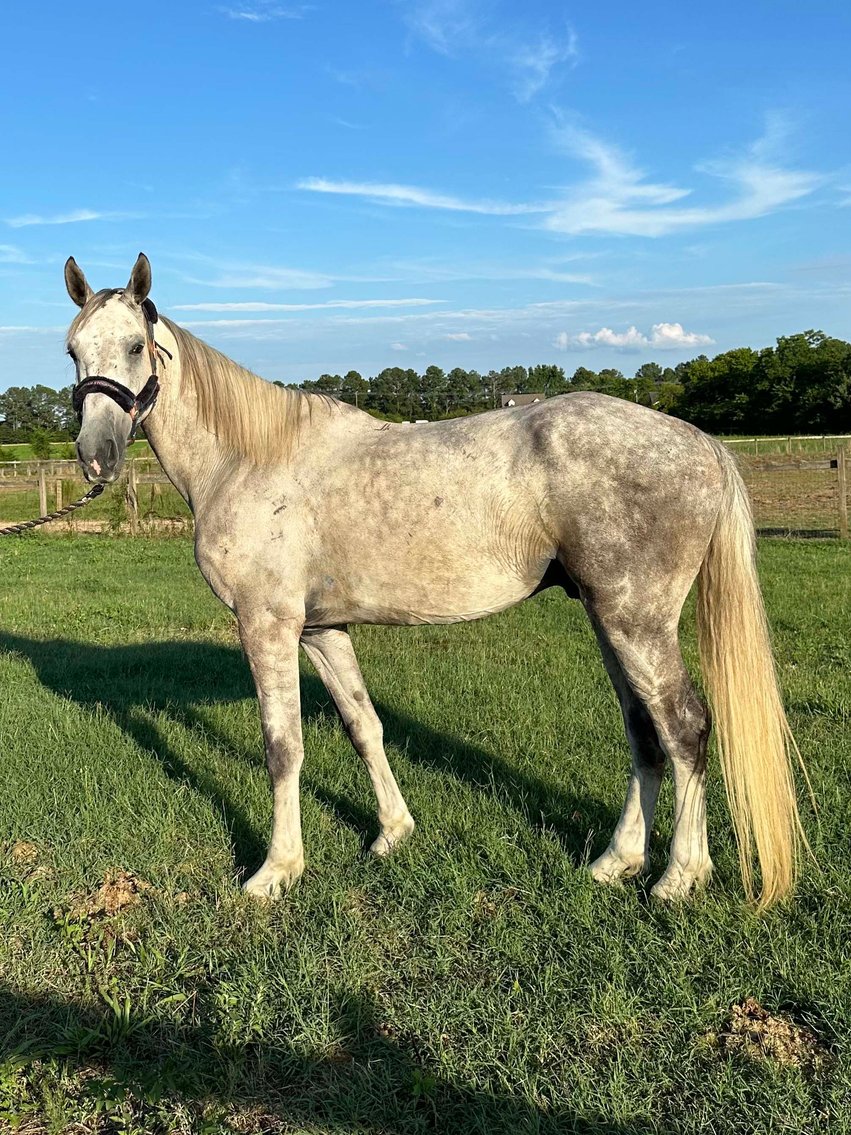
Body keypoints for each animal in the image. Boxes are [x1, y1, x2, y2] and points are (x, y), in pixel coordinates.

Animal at [63, 253, 804, 907]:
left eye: (135, 345)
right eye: (72, 351)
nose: (96, 456)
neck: (249, 459)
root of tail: (699, 442)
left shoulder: (265, 624)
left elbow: (282, 747)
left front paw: (276, 871)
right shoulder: (322, 630)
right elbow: (363, 725)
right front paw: (392, 833)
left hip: (636, 622)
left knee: (684, 729)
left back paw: (678, 877)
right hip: (608, 619)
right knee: (643, 731)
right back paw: (614, 862)